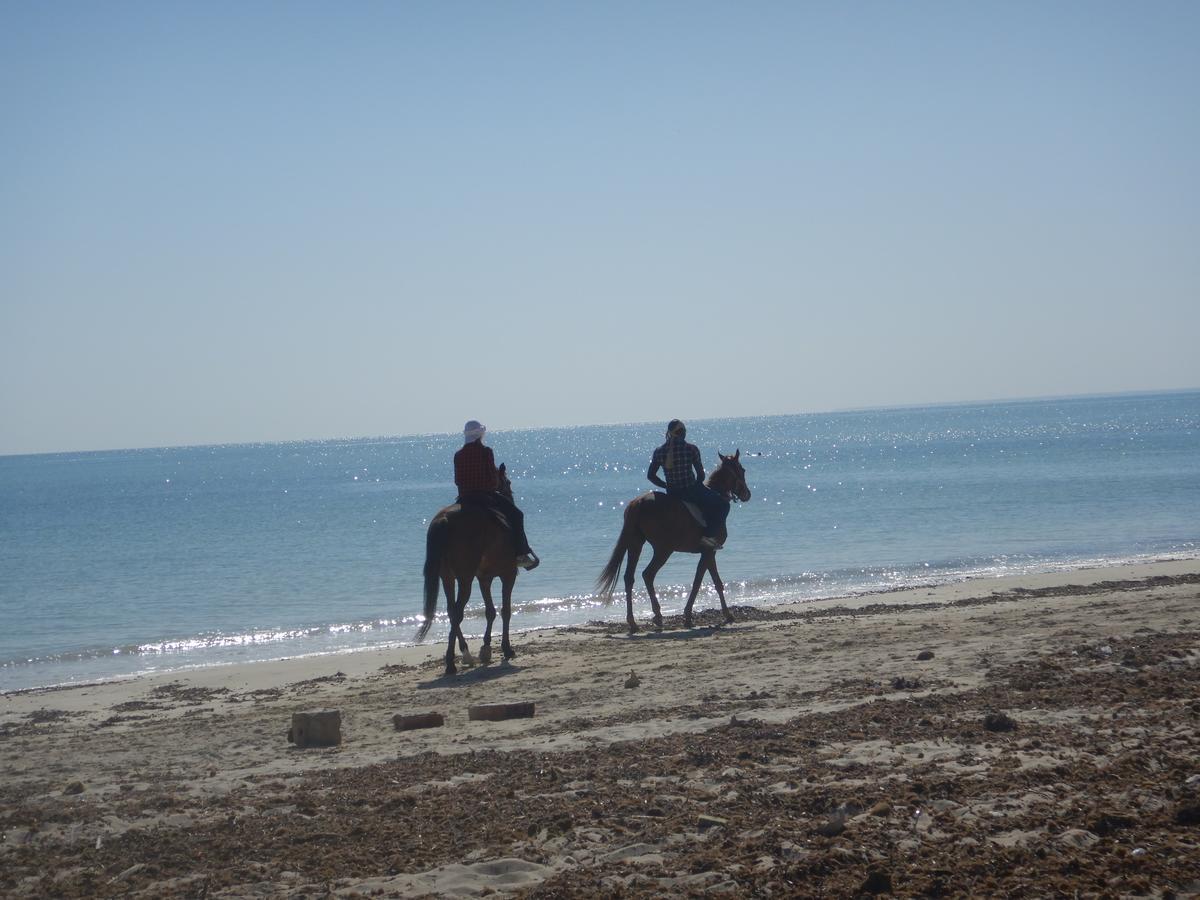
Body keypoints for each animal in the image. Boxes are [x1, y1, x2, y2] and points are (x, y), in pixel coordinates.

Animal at [417, 465, 520, 676]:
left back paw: (464, 654)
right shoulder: (508, 574)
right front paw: (506, 648)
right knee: (457, 612)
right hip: (465, 579)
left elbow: (490, 611)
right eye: (508, 482)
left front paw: (486, 649)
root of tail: (444, 520)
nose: (511, 496)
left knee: (451, 611)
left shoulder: (484, 578)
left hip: (447, 577)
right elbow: (505, 610)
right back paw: (452, 662)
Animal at [597, 451, 748, 633]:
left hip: (636, 544)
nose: (747, 494)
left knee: (629, 577)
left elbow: (717, 582)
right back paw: (657, 616)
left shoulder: (709, 553)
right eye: (742, 470)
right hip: (664, 549)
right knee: (648, 574)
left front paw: (727, 615)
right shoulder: (708, 552)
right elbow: (699, 582)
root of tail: (639, 503)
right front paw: (689, 617)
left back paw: (634, 622)